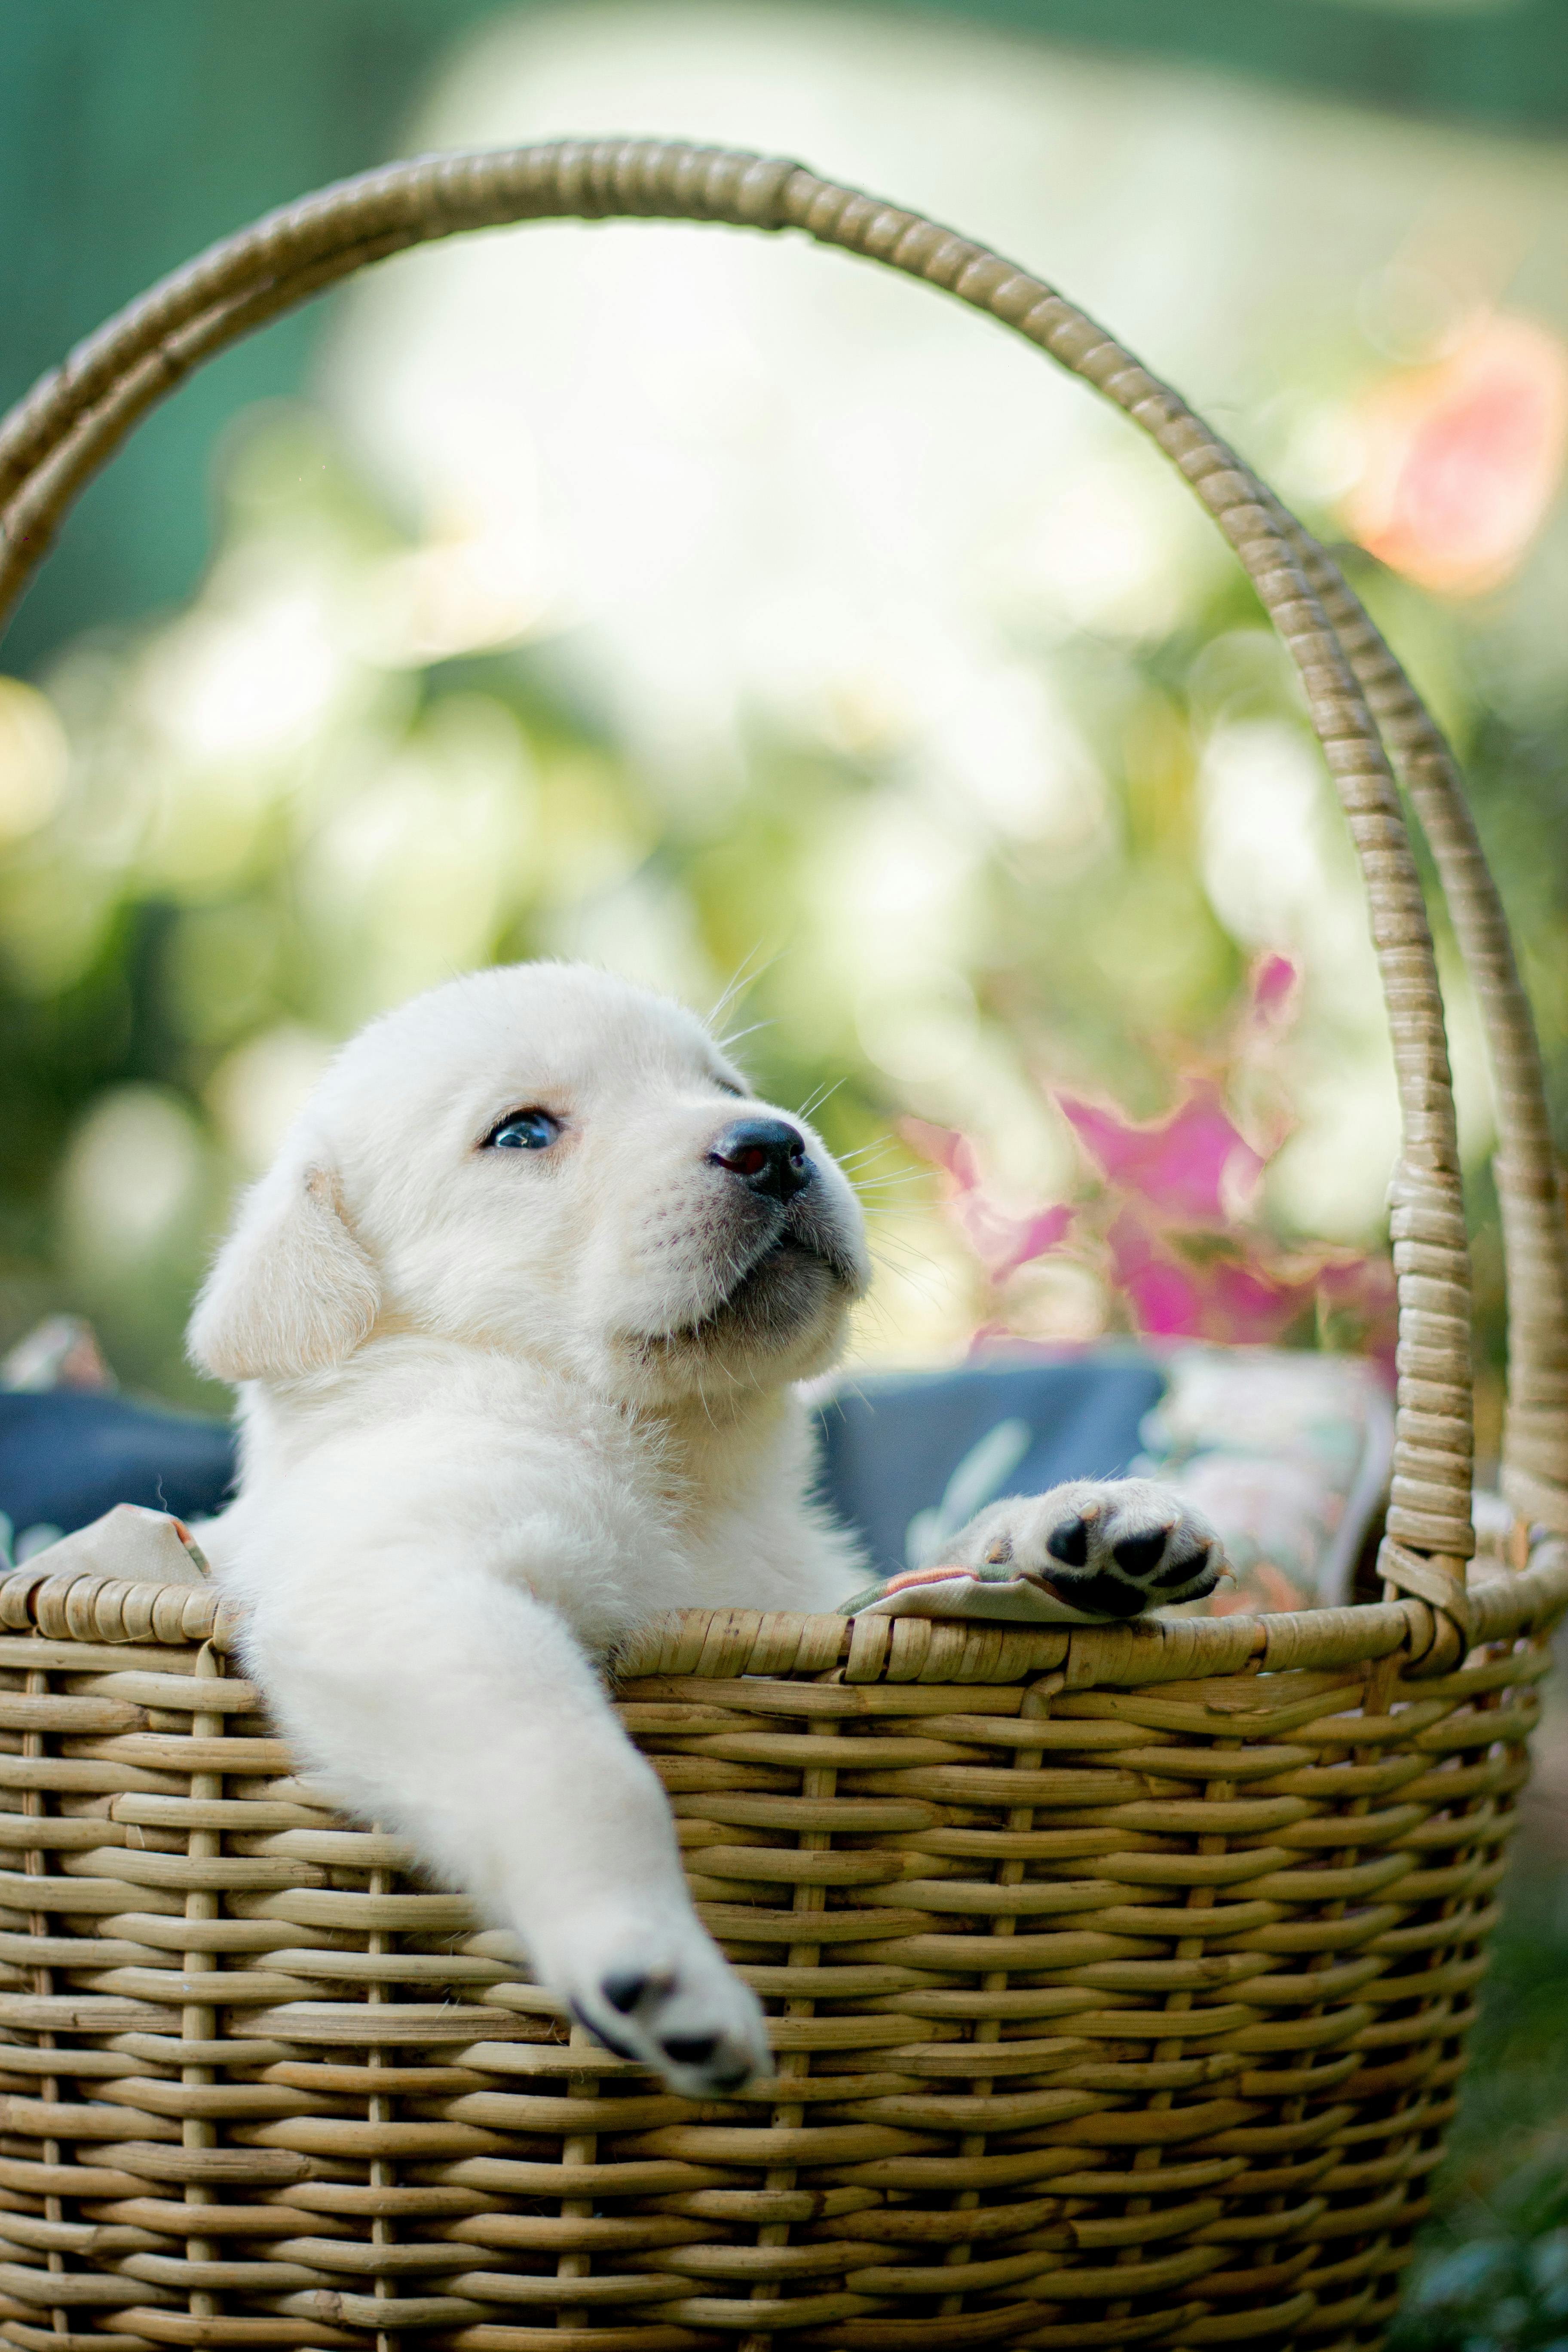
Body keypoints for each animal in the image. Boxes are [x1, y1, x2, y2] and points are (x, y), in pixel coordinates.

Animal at [193, 964, 1222, 2107]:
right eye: (521, 1132)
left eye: (722, 1085)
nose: (773, 1144)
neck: (684, 1467)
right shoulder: (403, 1587)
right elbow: (579, 1765)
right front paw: (655, 1963)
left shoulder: (812, 1598)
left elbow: (925, 1567)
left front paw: (1081, 1523)